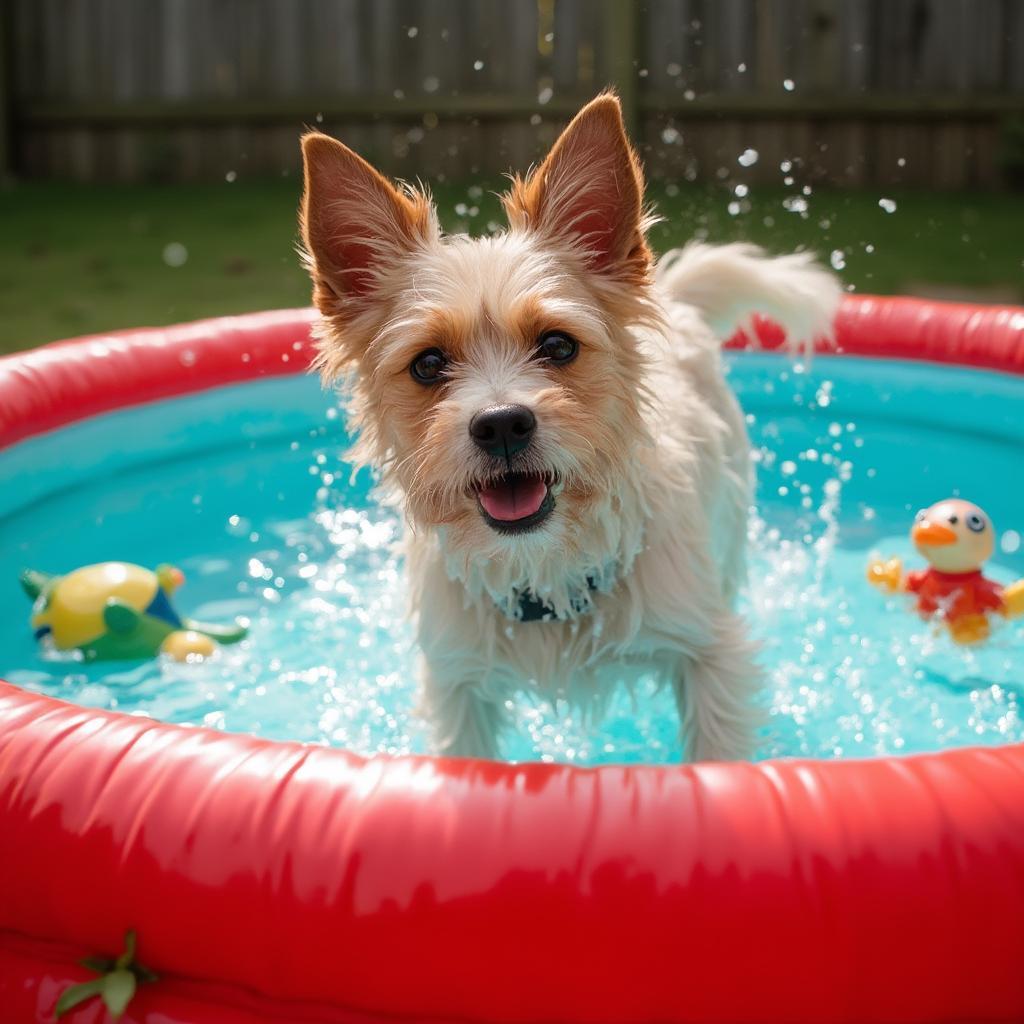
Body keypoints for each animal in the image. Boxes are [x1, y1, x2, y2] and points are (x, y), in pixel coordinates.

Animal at [299, 92, 839, 761]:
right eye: (427, 363)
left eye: (557, 345)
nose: (502, 424)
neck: (545, 569)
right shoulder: (457, 688)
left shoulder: (710, 653)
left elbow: (716, 750)